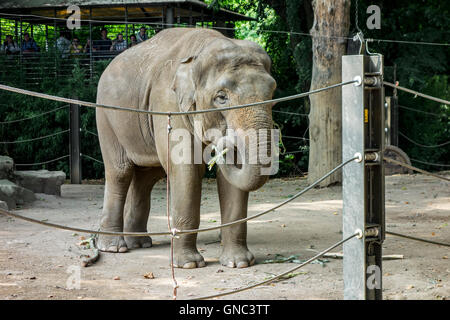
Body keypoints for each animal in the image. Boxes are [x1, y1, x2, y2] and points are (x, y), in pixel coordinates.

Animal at [96, 26, 276, 268]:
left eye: (272, 94)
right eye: (221, 97)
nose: (221, 146)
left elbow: (232, 179)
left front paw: (238, 263)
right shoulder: (167, 104)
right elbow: (185, 168)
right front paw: (189, 264)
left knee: (145, 178)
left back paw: (140, 243)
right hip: (106, 117)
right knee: (120, 172)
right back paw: (114, 247)